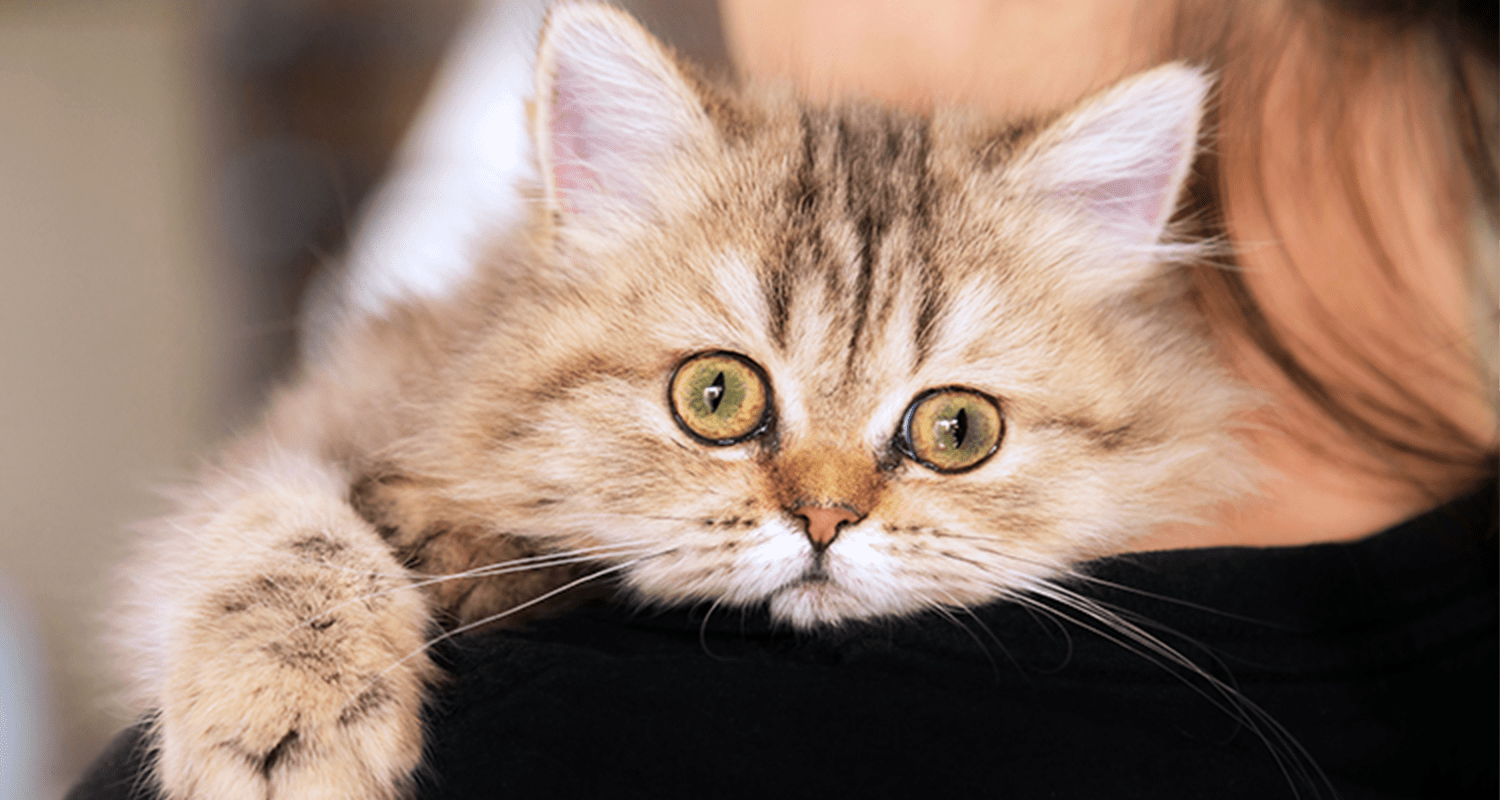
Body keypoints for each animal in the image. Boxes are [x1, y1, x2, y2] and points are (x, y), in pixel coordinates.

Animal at [111, 3, 1254, 792]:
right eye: (714, 395)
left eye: (957, 429)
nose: (826, 520)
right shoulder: (320, 416)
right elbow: (280, 534)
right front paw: (282, 715)